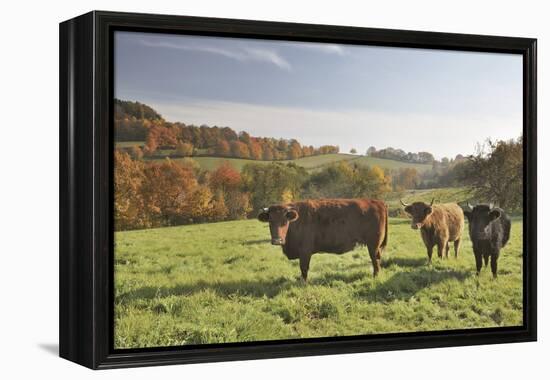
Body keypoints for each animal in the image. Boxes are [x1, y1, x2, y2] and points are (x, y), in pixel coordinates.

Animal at [258, 199, 388, 280]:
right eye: (270, 221)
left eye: (285, 221)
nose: (277, 240)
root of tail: (377, 202)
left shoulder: (305, 252)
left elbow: (304, 268)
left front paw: (303, 283)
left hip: (373, 245)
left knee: (375, 260)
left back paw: (375, 276)